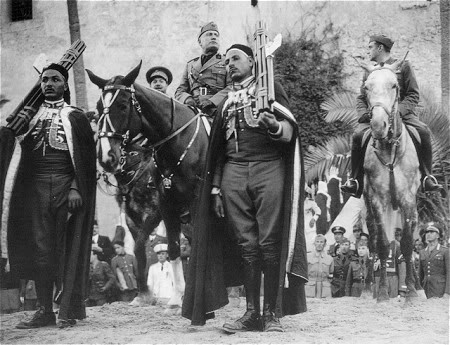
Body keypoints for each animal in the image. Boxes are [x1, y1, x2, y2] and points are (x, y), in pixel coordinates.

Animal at [86, 61, 209, 306]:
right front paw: (157, 295)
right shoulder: (159, 209)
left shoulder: (159, 212)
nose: (106, 156)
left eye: (123, 105)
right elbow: (153, 249)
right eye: (98, 107)